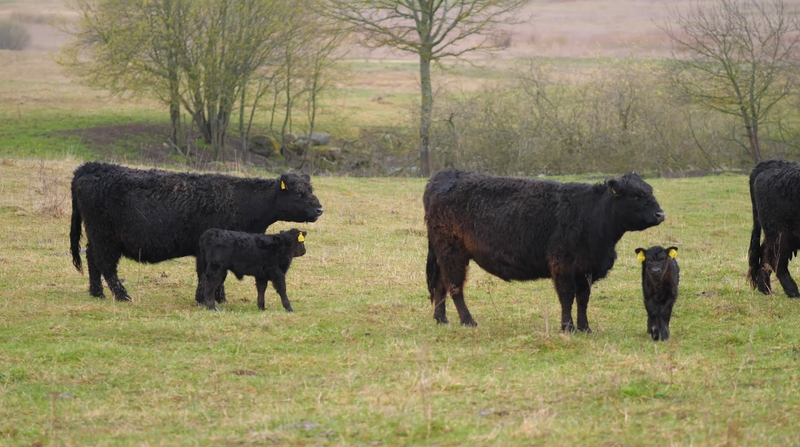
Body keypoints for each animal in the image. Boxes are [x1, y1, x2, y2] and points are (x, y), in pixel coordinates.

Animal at [70, 163, 322, 302]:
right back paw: (123, 296)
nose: (320, 208)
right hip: (105, 238)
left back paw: (97, 293)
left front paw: (219, 298)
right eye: (299, 193)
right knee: (106, 265)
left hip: (98, 236)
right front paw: (205, 299)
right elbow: (208, 275)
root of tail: (94, 167)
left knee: (92, 259)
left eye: (311, 189)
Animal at [422, 171, 664, 332]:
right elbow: (567, 297)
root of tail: (446, 175)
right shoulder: (563, 265)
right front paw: (567, 327)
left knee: (441, 284)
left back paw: (441, 319)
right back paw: (468, 321)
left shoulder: (586, 269)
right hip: (452, 253)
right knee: (454, 286)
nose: (661, 214)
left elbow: (583, 299)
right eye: (636, 195)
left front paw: (585, 327)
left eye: (650, 191)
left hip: (444, 254)